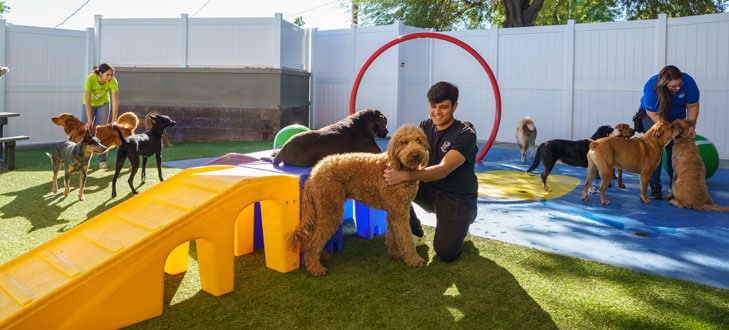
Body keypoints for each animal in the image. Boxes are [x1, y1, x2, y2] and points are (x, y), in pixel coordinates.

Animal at [288, 125, 430, 278]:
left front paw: (395, 253)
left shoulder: (394, 211)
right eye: (404, 142)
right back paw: (315, 267)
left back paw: (322, 256)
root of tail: (314, 173)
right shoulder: (400, 212)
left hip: (321, 209)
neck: (396, 166)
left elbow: (393, 235)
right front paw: (413, 259)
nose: (415, 154)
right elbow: (406, 237)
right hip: (330, 209)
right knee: (313, 241)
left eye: (419, 140)